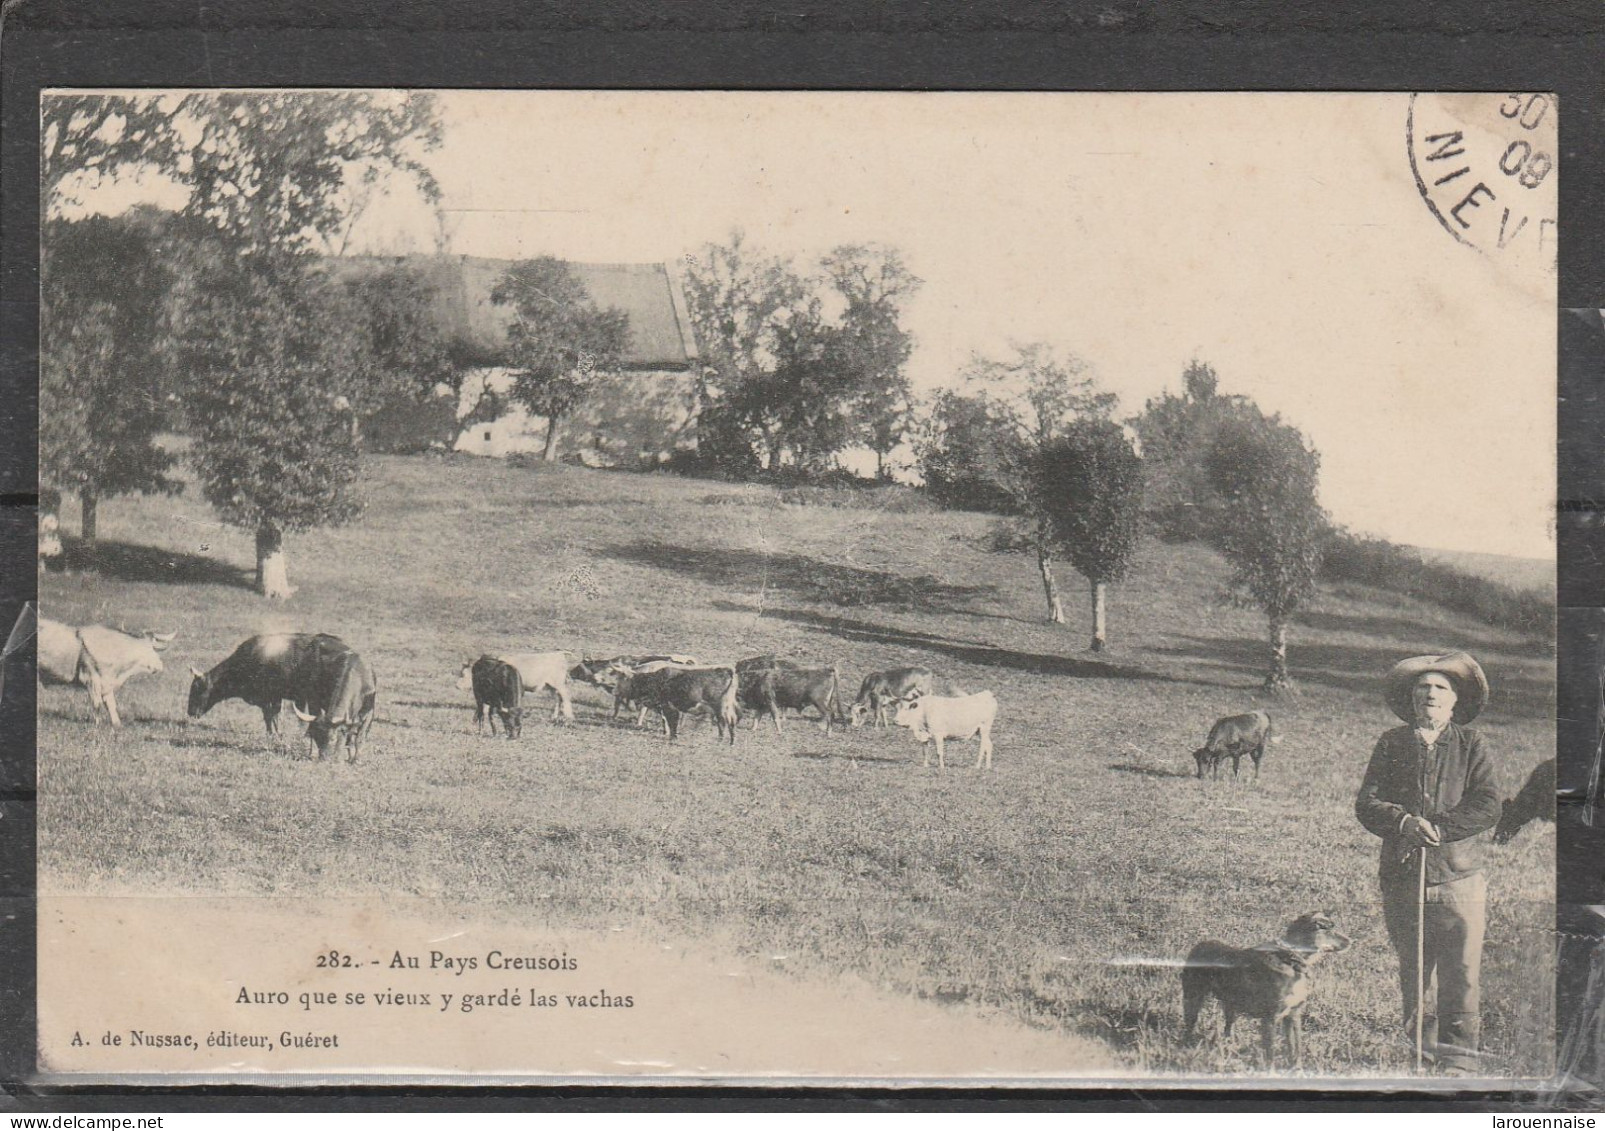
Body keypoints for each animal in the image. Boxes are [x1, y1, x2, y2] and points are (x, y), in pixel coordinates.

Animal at [38, 612, 174, 728]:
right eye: (146, 649)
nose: (159, 665)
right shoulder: (91, 679)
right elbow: (97, 704)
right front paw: (97, 724)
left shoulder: (106, 682)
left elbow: (111, 704)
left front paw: (117, 724)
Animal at [187, 632, 354, 737]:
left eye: (197, 688)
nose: (190, 712)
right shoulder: (275, 697)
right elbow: (274, 715)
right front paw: (276, 733)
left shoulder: (267, 697)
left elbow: (269, 715)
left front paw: (272, 733)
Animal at [1181, 911, 1354, 1065]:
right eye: (1330, 929)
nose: (1351, 941)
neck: (1292, 960)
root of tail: (1198, 946)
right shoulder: (1270, 1019)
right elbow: (1270, 1054)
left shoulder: (1293, 1015)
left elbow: (1295, 1048)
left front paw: (1297, 1069)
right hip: (1192, 998)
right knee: (1189, 1026)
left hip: (1231, 1004)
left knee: (1228, 1028)